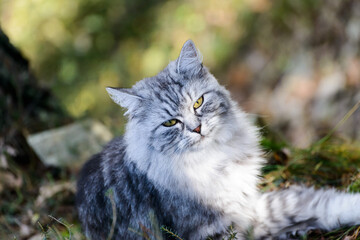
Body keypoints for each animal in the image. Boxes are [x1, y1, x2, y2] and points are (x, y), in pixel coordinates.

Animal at [76, 40, 360, 239]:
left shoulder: (250, 207)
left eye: (198, 102)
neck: (214, 160)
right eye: (170, 123)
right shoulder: (213, 229)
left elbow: (320, 204)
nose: (197, 128)